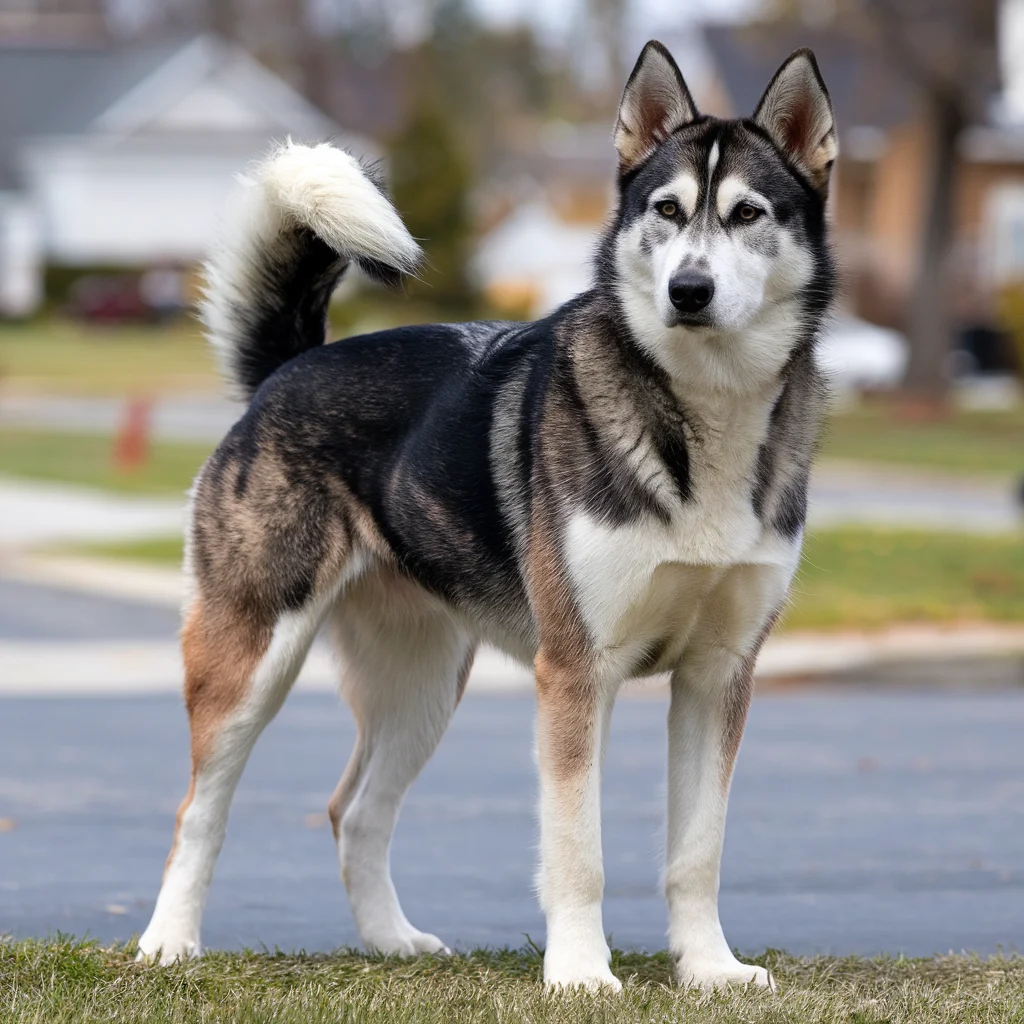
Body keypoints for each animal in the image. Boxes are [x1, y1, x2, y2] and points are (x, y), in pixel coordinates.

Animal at [140, 41, 835, 991]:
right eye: (667, 210)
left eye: (748, 214)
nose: (689, 290)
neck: (702, 414)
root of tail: (290, 368)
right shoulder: (576, 673)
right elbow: (579, 850)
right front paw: (580, 974)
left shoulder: (717, 676)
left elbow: (699, 851)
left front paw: (710, 970)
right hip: (251, 661)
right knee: (197, 812)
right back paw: (167, 943)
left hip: (424, 687)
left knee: (354, 810)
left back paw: (392, 941)